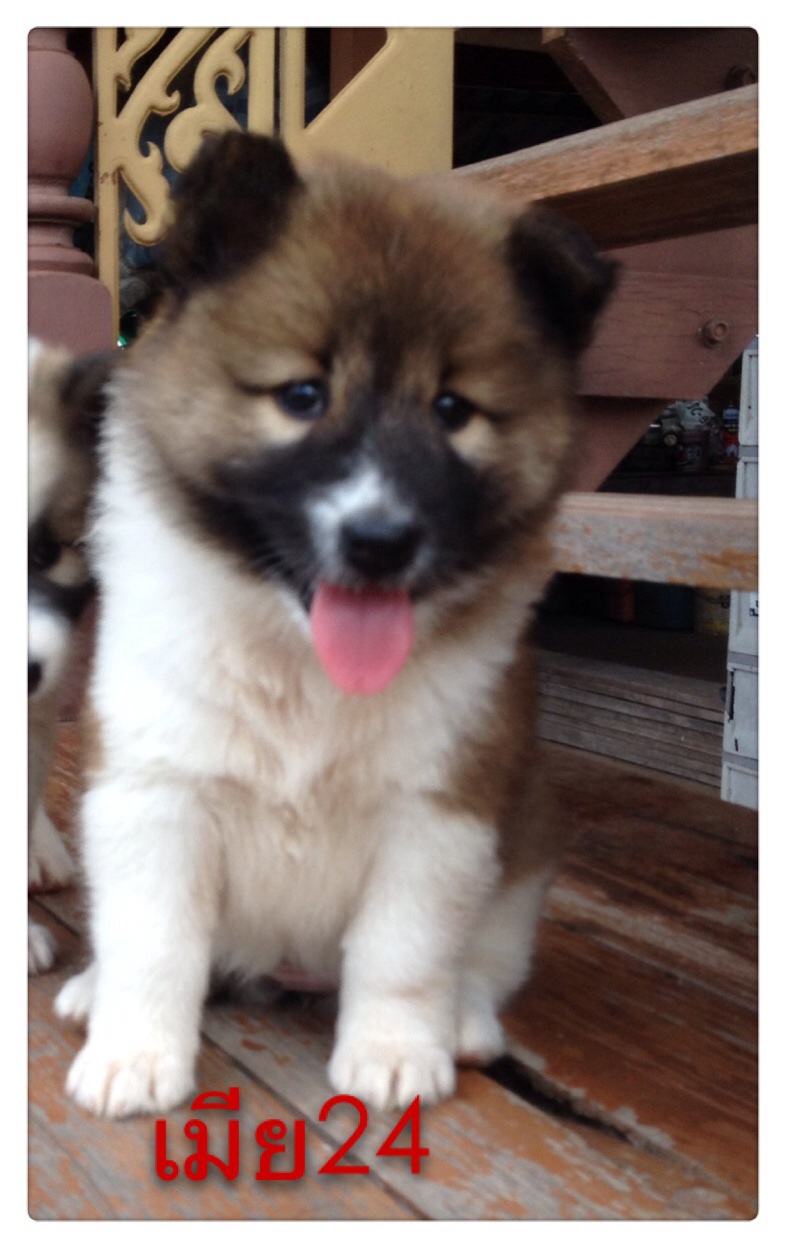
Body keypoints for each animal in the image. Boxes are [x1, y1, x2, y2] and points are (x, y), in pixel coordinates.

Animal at [54, 133, 616, 1115]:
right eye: (302, 395)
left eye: (452, 410)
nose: (380, 541)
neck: (300, 661)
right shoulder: (154, 790)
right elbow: (154, 941)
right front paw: (135, 1051)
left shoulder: (439, 813)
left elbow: (403, 951)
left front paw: (394, 1050)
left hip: (526, 856)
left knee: (482, 961)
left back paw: (464, 1020)